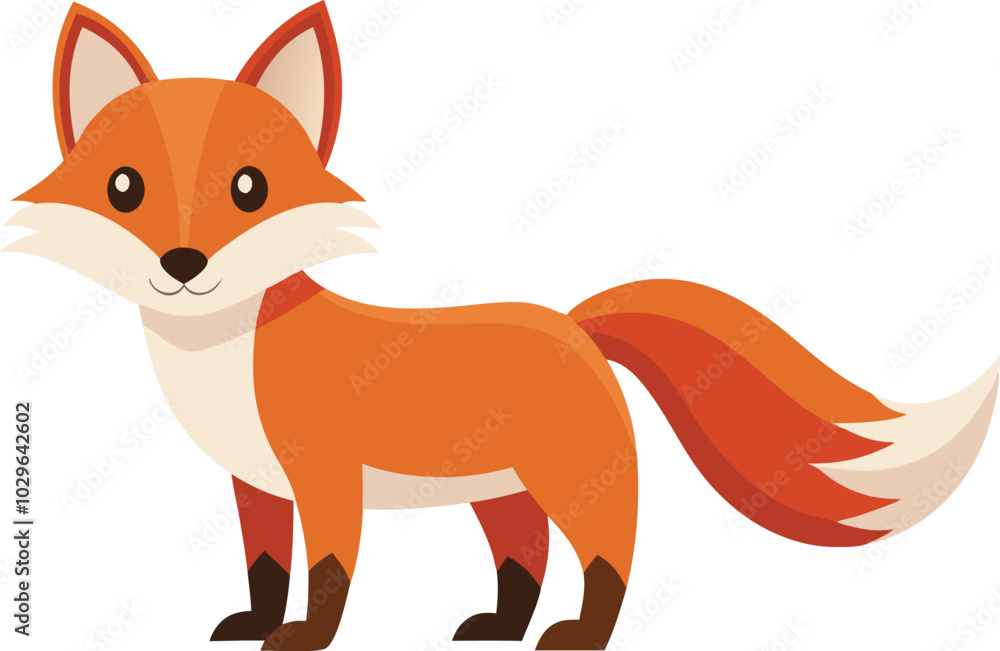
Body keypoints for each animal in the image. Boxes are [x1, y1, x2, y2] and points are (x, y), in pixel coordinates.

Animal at [3, 3, 999, 650]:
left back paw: (579, 635)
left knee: (608, 560)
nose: (183, 263)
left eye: (249, 189)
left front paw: (304, 638)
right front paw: (251, 625)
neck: (221, 361)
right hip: (503, 490)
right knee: (524, 558)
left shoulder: (325, 476)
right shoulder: (257, 483)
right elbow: (263, 566)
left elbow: (327, 575)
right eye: (124, 187)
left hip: (575, 481)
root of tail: (574, 322)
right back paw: (497, 628)